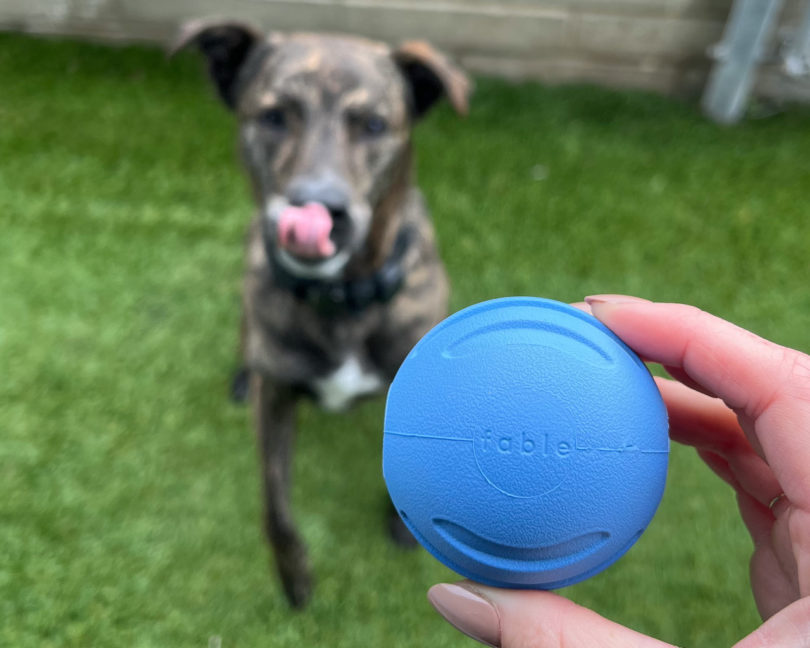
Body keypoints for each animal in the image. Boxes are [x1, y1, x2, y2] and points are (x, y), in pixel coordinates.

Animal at [174, 19, 470, 608]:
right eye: (273, 116)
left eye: (374, 124)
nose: (318, 210)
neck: (343, 297)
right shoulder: (275, 400)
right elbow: (274, 507)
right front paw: (293, 576)